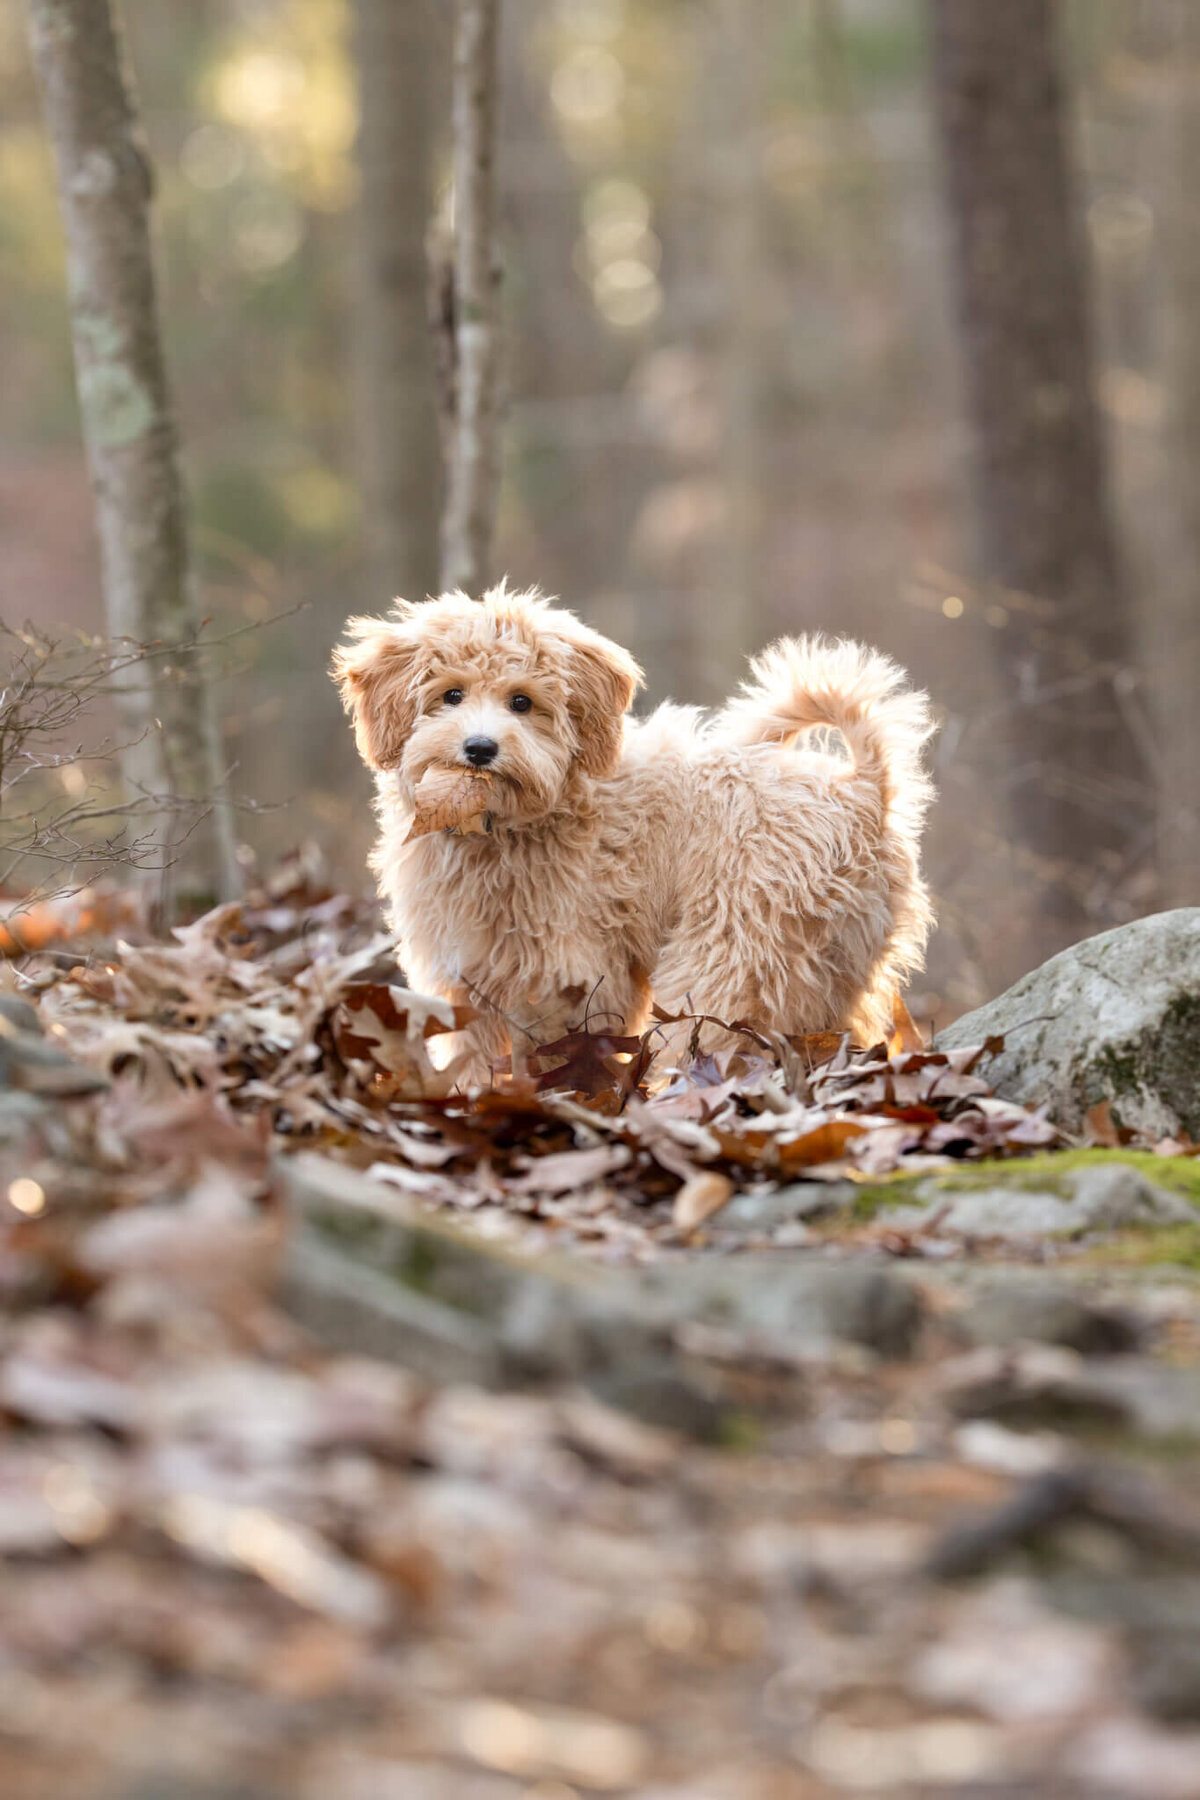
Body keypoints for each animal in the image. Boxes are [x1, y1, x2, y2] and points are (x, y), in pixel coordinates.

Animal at [332, 583, 935, 1080]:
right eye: (451, 695)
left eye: (522, 701)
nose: (479, 749)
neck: (506, 831)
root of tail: (863, 790)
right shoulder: (466, 978)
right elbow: (472, 1056)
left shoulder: (570, 973)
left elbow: (557, 1049)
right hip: (826, 964)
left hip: (731, 956)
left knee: (716, 1030)